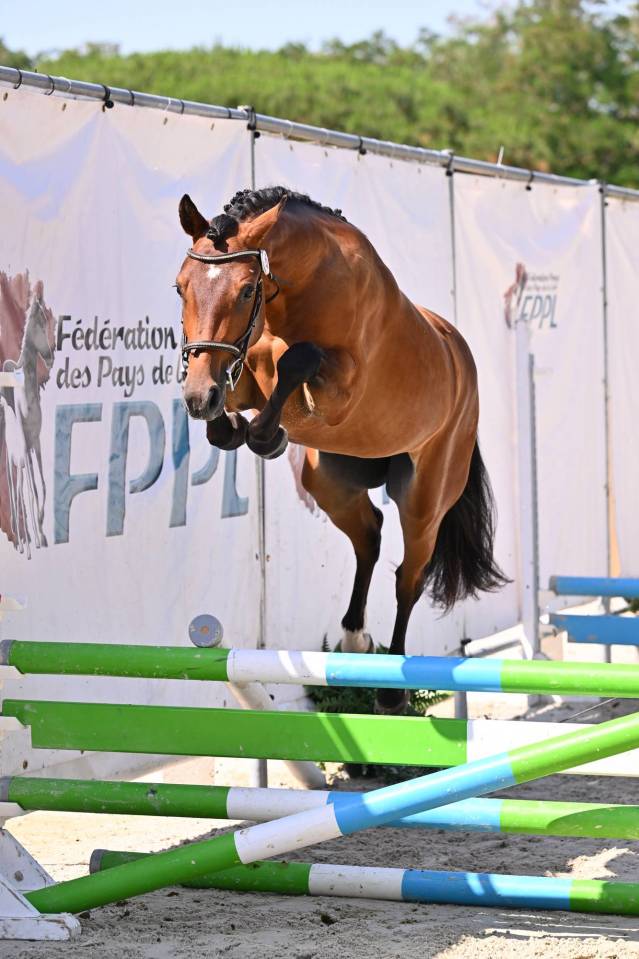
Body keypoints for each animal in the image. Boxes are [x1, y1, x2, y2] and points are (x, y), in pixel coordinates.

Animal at [176, 187, 508, 712]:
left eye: (247, 291)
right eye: (180, 287)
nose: (195, 398)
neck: (299, 293)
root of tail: (463, 363)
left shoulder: (340, 387)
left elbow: (299, 359)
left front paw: (266, 436)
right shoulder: (243, 370)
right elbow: (234, 403)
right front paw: (232, 425)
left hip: (424, 498)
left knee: (408, 577)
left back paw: (392, 691)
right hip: (330, 483)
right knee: (369, 535)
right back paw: (355, 638)